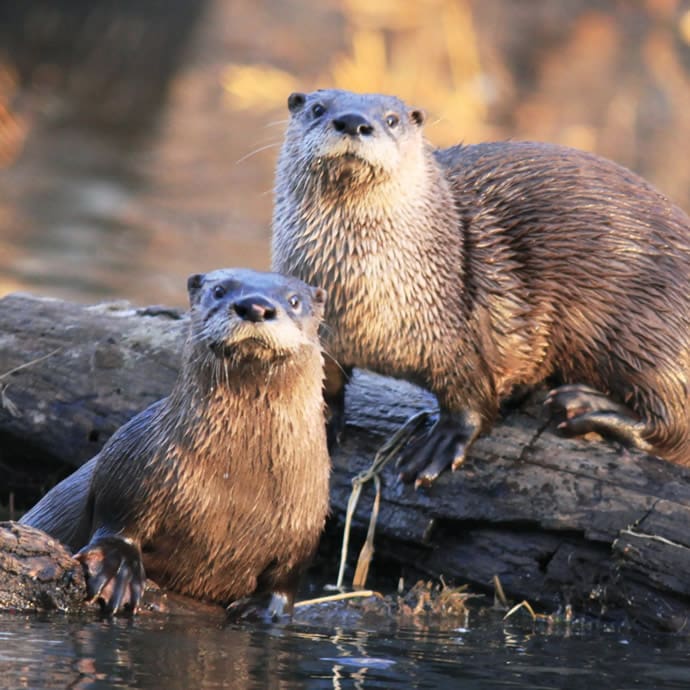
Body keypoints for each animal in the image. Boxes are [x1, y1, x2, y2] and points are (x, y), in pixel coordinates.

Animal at [21, 268, 330, 615]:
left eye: (294, 300)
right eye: (219, 290)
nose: (255, 306)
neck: (236, 486)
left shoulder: (306, 522)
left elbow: (286, 577)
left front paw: (268, 608)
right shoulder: (131, 464)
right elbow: (116, 521)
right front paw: (118, 568)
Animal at [272, 88, 690, 487]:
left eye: (391, 119)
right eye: (317, 109)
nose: (354, 122)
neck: (361, 302)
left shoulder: (456, 330)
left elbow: (471, 397)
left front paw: (440, 445)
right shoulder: (319, 335)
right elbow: (323, 387)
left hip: (649, 332)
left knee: (672, 424)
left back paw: (584, 405)